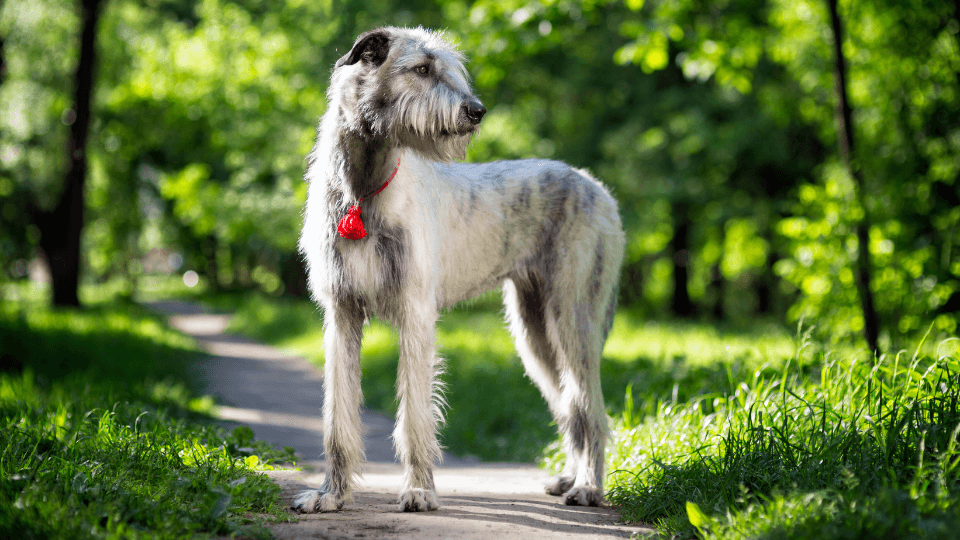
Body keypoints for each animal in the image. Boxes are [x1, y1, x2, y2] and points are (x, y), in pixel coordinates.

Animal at [294, 26, 624, 516]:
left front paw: (418, 490)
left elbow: (415, 413)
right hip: (534, 332)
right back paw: (569, 477)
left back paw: (588, 486)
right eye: (422, 68)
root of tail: (598, 187)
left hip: (573, 318)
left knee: (591, 410)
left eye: (451, 70)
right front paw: (330, 494)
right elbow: (338, 414)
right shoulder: (341, 313)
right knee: (571, 408)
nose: (477, 110)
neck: (363, 189)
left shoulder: (415, 312)